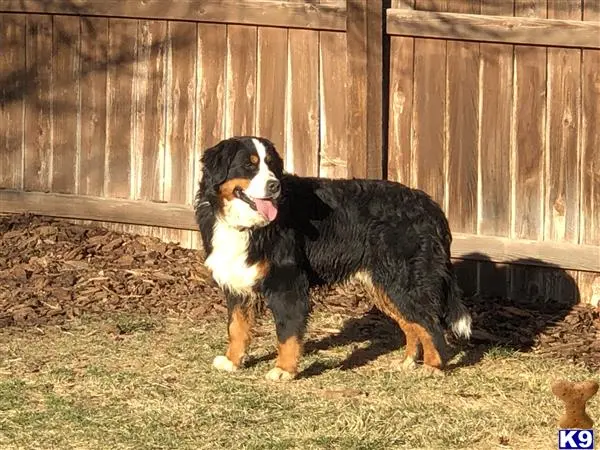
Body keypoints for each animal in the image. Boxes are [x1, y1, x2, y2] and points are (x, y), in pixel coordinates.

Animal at [195, 136, 472, 380]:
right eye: (249, 165)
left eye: (272, 166)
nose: (274, 185)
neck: (249, 225)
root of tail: (430, 205)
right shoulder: (237, 283)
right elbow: (236, 327)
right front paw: (232, 361)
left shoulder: (287, 284)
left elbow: (286, 331)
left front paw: (284, 370)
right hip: (385, 284)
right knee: (413, 324)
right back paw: (407, 362)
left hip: (404, 281)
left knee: (430, 325)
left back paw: (433, 366)